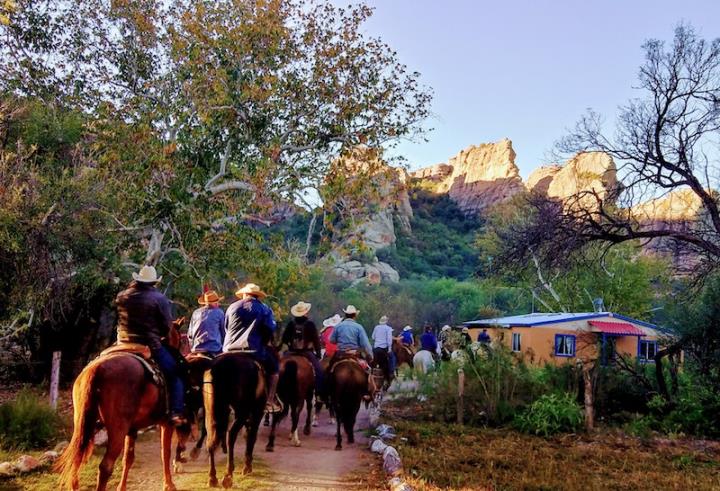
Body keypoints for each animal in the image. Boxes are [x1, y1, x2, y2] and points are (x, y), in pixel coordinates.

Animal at [56, 320, 186, 491]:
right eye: (181, 340)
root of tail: (97, 369)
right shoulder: (166, 423)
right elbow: (165, 453)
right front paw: (169, 484)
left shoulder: (132, 429)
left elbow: (128, 458)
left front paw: (121, 487)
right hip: (117, 430)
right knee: (105, 466)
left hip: (83, 426)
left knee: (76, 458)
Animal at [204, 354, 266, 488]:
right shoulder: (257, 413)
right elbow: (251, 436)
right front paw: (247, 466)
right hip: (243, 412)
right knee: (231, 435)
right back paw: (228, 475)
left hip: (211, 413)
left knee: (210, 440)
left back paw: (212, 477)